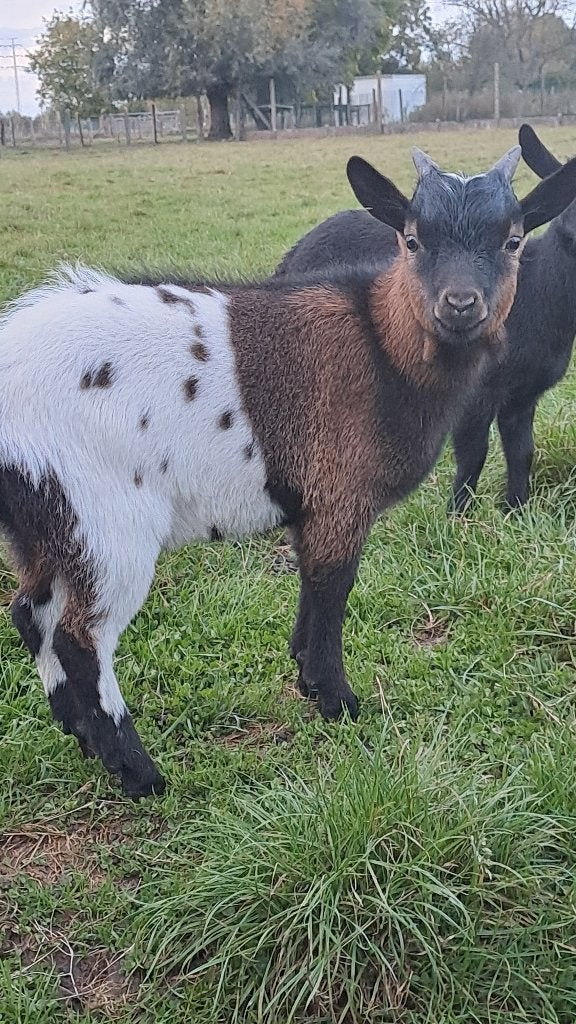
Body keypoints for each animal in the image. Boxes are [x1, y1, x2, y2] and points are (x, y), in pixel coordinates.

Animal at [276, 128, 576, 511]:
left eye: (513, 241)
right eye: (413, 241)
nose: (461, 303)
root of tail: (293, 252)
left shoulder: (522, 396)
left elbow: (522, 453)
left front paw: (516, 509)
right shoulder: (475, 398)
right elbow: (473, 455)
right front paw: (459, 514)